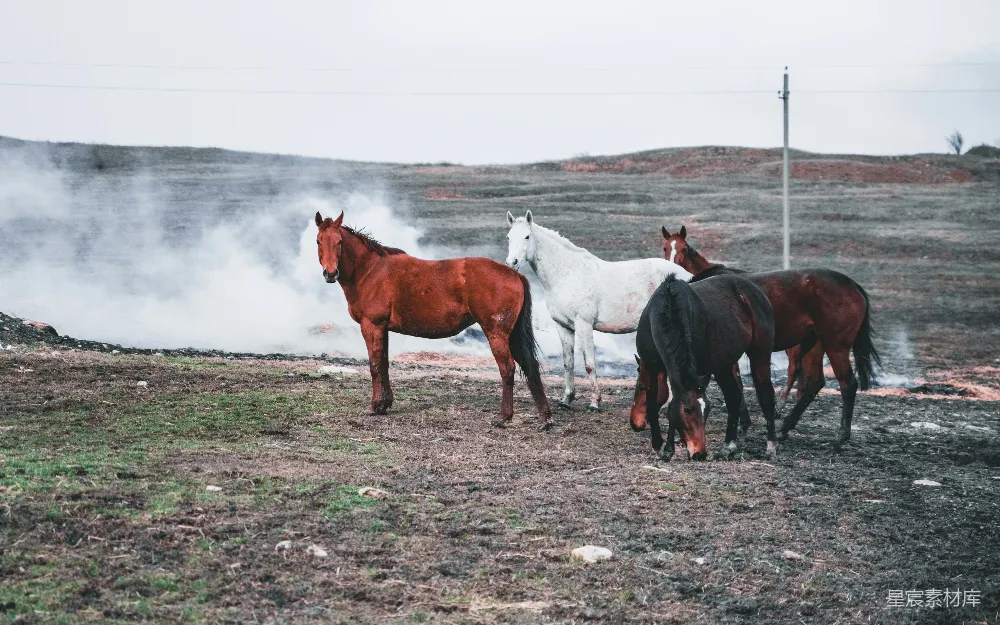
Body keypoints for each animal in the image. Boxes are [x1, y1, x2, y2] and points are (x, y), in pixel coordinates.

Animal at [315, 211, 551, 427]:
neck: (370, 270)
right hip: (512, 335)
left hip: (496, 333)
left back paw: (504, 416)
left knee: (507, 368)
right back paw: (545, 417)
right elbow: (384, 363)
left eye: (339, 241)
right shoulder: (383, 328)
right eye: (319, 241)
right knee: (530, 365)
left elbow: (374, 365)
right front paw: (385, 404)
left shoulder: (372, 325)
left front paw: (374, 405)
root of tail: (515, 274)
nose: (330, 273)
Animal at [504, 210, 692, 411]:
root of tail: (686, 276)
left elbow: (589, 364)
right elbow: (568, 363)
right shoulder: (563, 327)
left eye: (527, 236)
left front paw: (595, 402)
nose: (512, 262)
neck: (567, 274)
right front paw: (566, 399)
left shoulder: (584, 325)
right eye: (509, 237)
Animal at [632, 274, 778, 460]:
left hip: (760, 354)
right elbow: (658, 405)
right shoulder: (652, 367)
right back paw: (728, 446)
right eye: (687, 411)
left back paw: (771, 445)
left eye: (707, 410)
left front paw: (668, 449)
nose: (700, 453)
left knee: (766, 396)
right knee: (733, 397)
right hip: (724, 365)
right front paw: (661, 445)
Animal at [658, 225, 881, 447]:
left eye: (684, 249)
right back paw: (785, 428)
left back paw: (840, 435)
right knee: (814, 382)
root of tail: (852, 284)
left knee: (847, 384)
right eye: (665, 248)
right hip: (814, 344)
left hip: (836, 346)